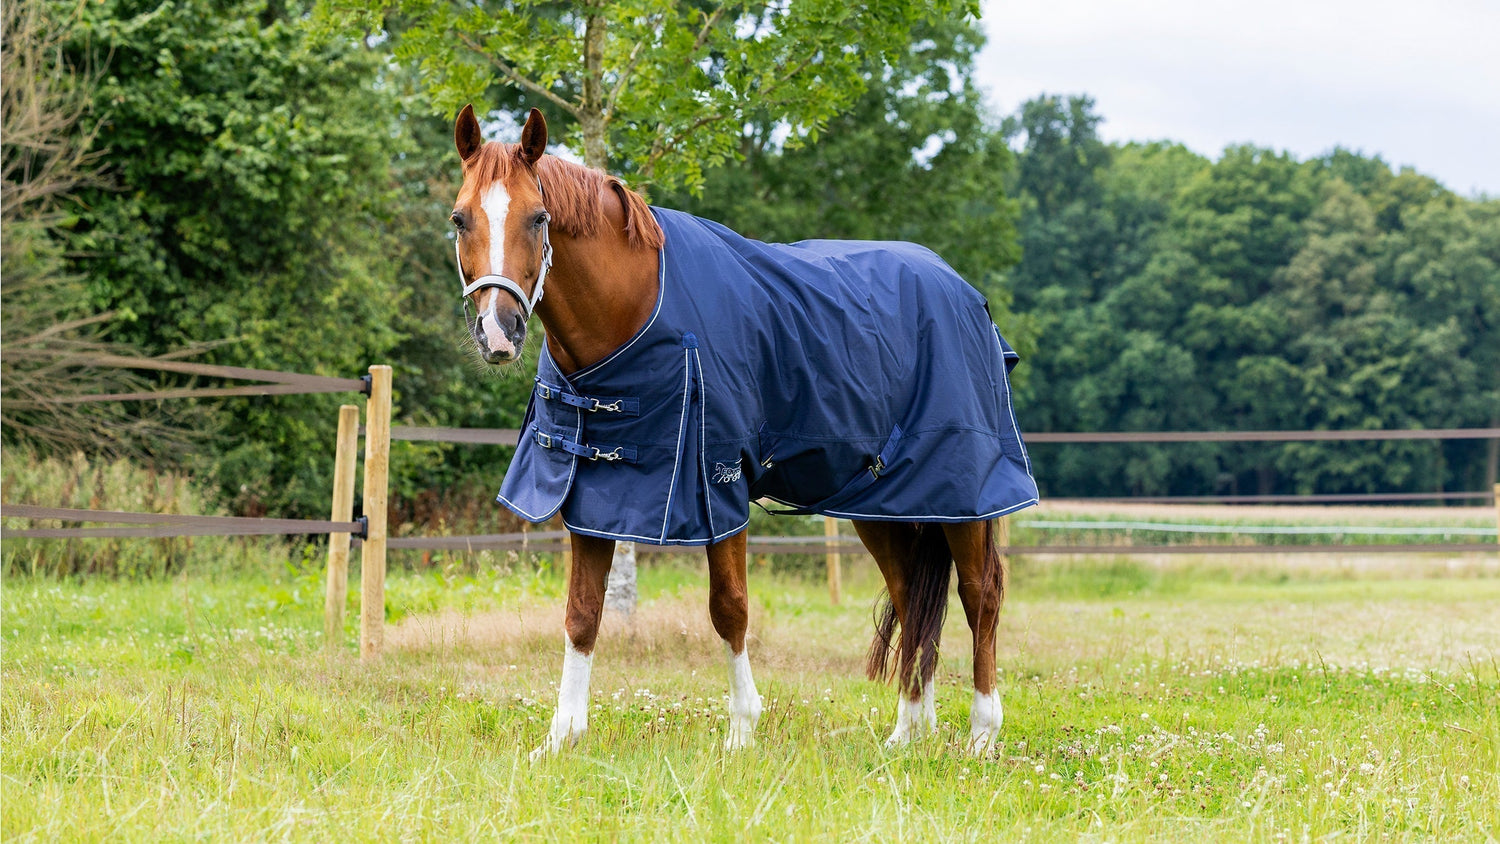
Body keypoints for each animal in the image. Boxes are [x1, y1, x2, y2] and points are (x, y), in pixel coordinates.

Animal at [450, 105, 1038, 756]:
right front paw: (561, 738)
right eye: (459, 218)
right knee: (913, 595)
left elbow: (729, 607)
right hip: (884, 501)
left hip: (964, 496)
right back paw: (908, 730)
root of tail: (963, 291)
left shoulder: (717, 485)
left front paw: (741, 731)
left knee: (980, 594)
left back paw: (982, 734)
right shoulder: (595, 494)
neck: (636, 310)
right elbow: (582, 613)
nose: (498, 333)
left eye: (538, 218)